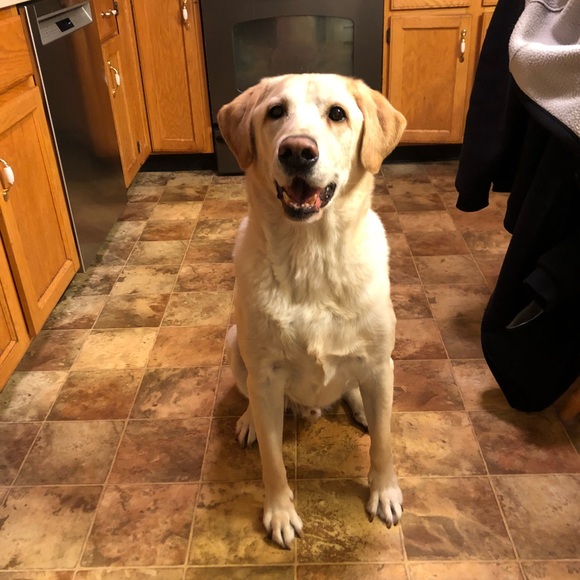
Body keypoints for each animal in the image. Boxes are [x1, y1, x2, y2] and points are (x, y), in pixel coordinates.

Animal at [217, 74, 406, 549]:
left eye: (337, 113)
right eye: (275, 111)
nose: (297, 151)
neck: (312, 255)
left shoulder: (381, 361)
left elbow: (384, 444)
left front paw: (384, 492)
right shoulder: (266, 376)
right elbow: (272, 460)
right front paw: (280, 513)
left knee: (360, 394)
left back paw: (361, 408)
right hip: (235, 344)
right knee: (250, 396)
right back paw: (249, 421)